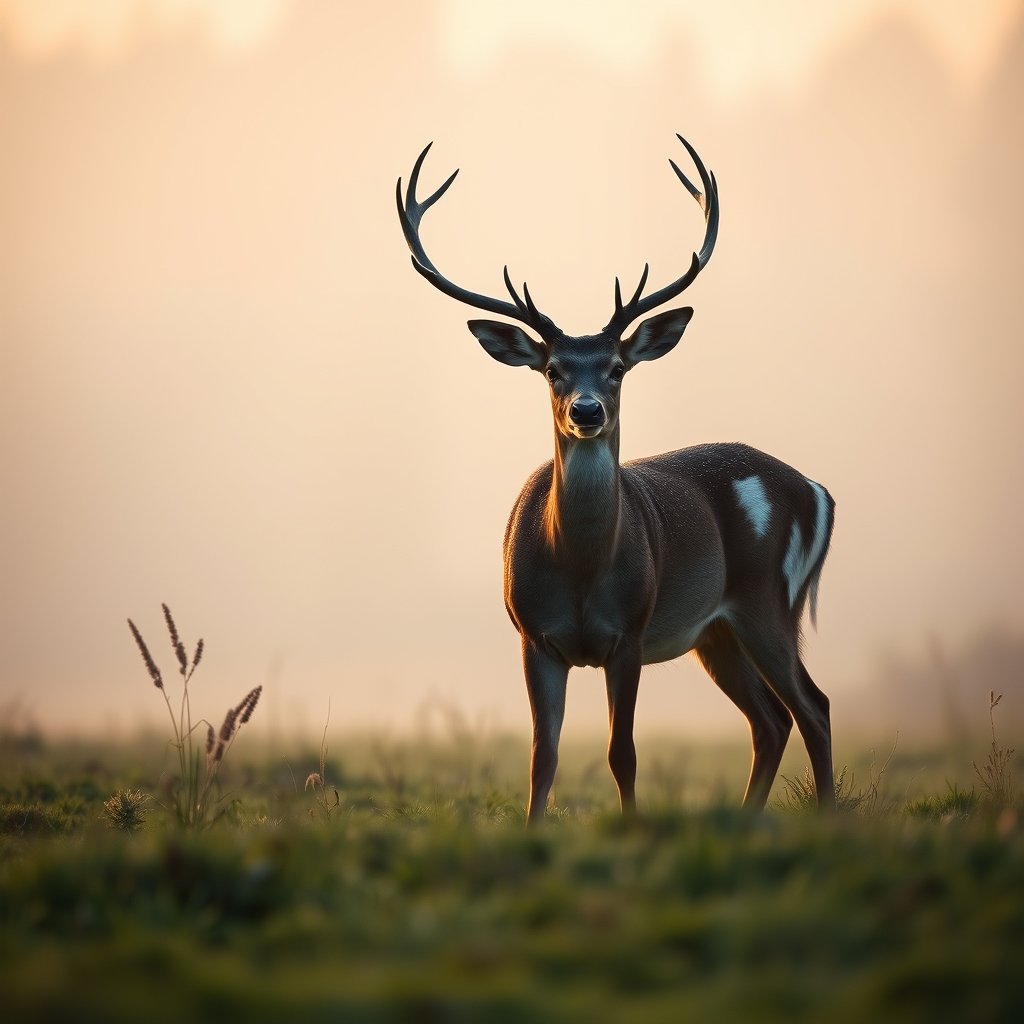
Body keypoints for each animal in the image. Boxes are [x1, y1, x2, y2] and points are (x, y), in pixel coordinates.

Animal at [396, 135, 836, 824]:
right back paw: (749, 816)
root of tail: (817, 490)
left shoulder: (629, 632)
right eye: (552, 368)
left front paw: (630, 824)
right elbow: (541, 757)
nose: (587, 410)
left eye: (618, 367)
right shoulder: (532, 636)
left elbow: (621, 752)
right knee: (772, 721)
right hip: (716, 631)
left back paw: (830, 814)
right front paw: (534, 829)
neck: (578, 567)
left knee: (813, 707)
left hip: (771, 598)